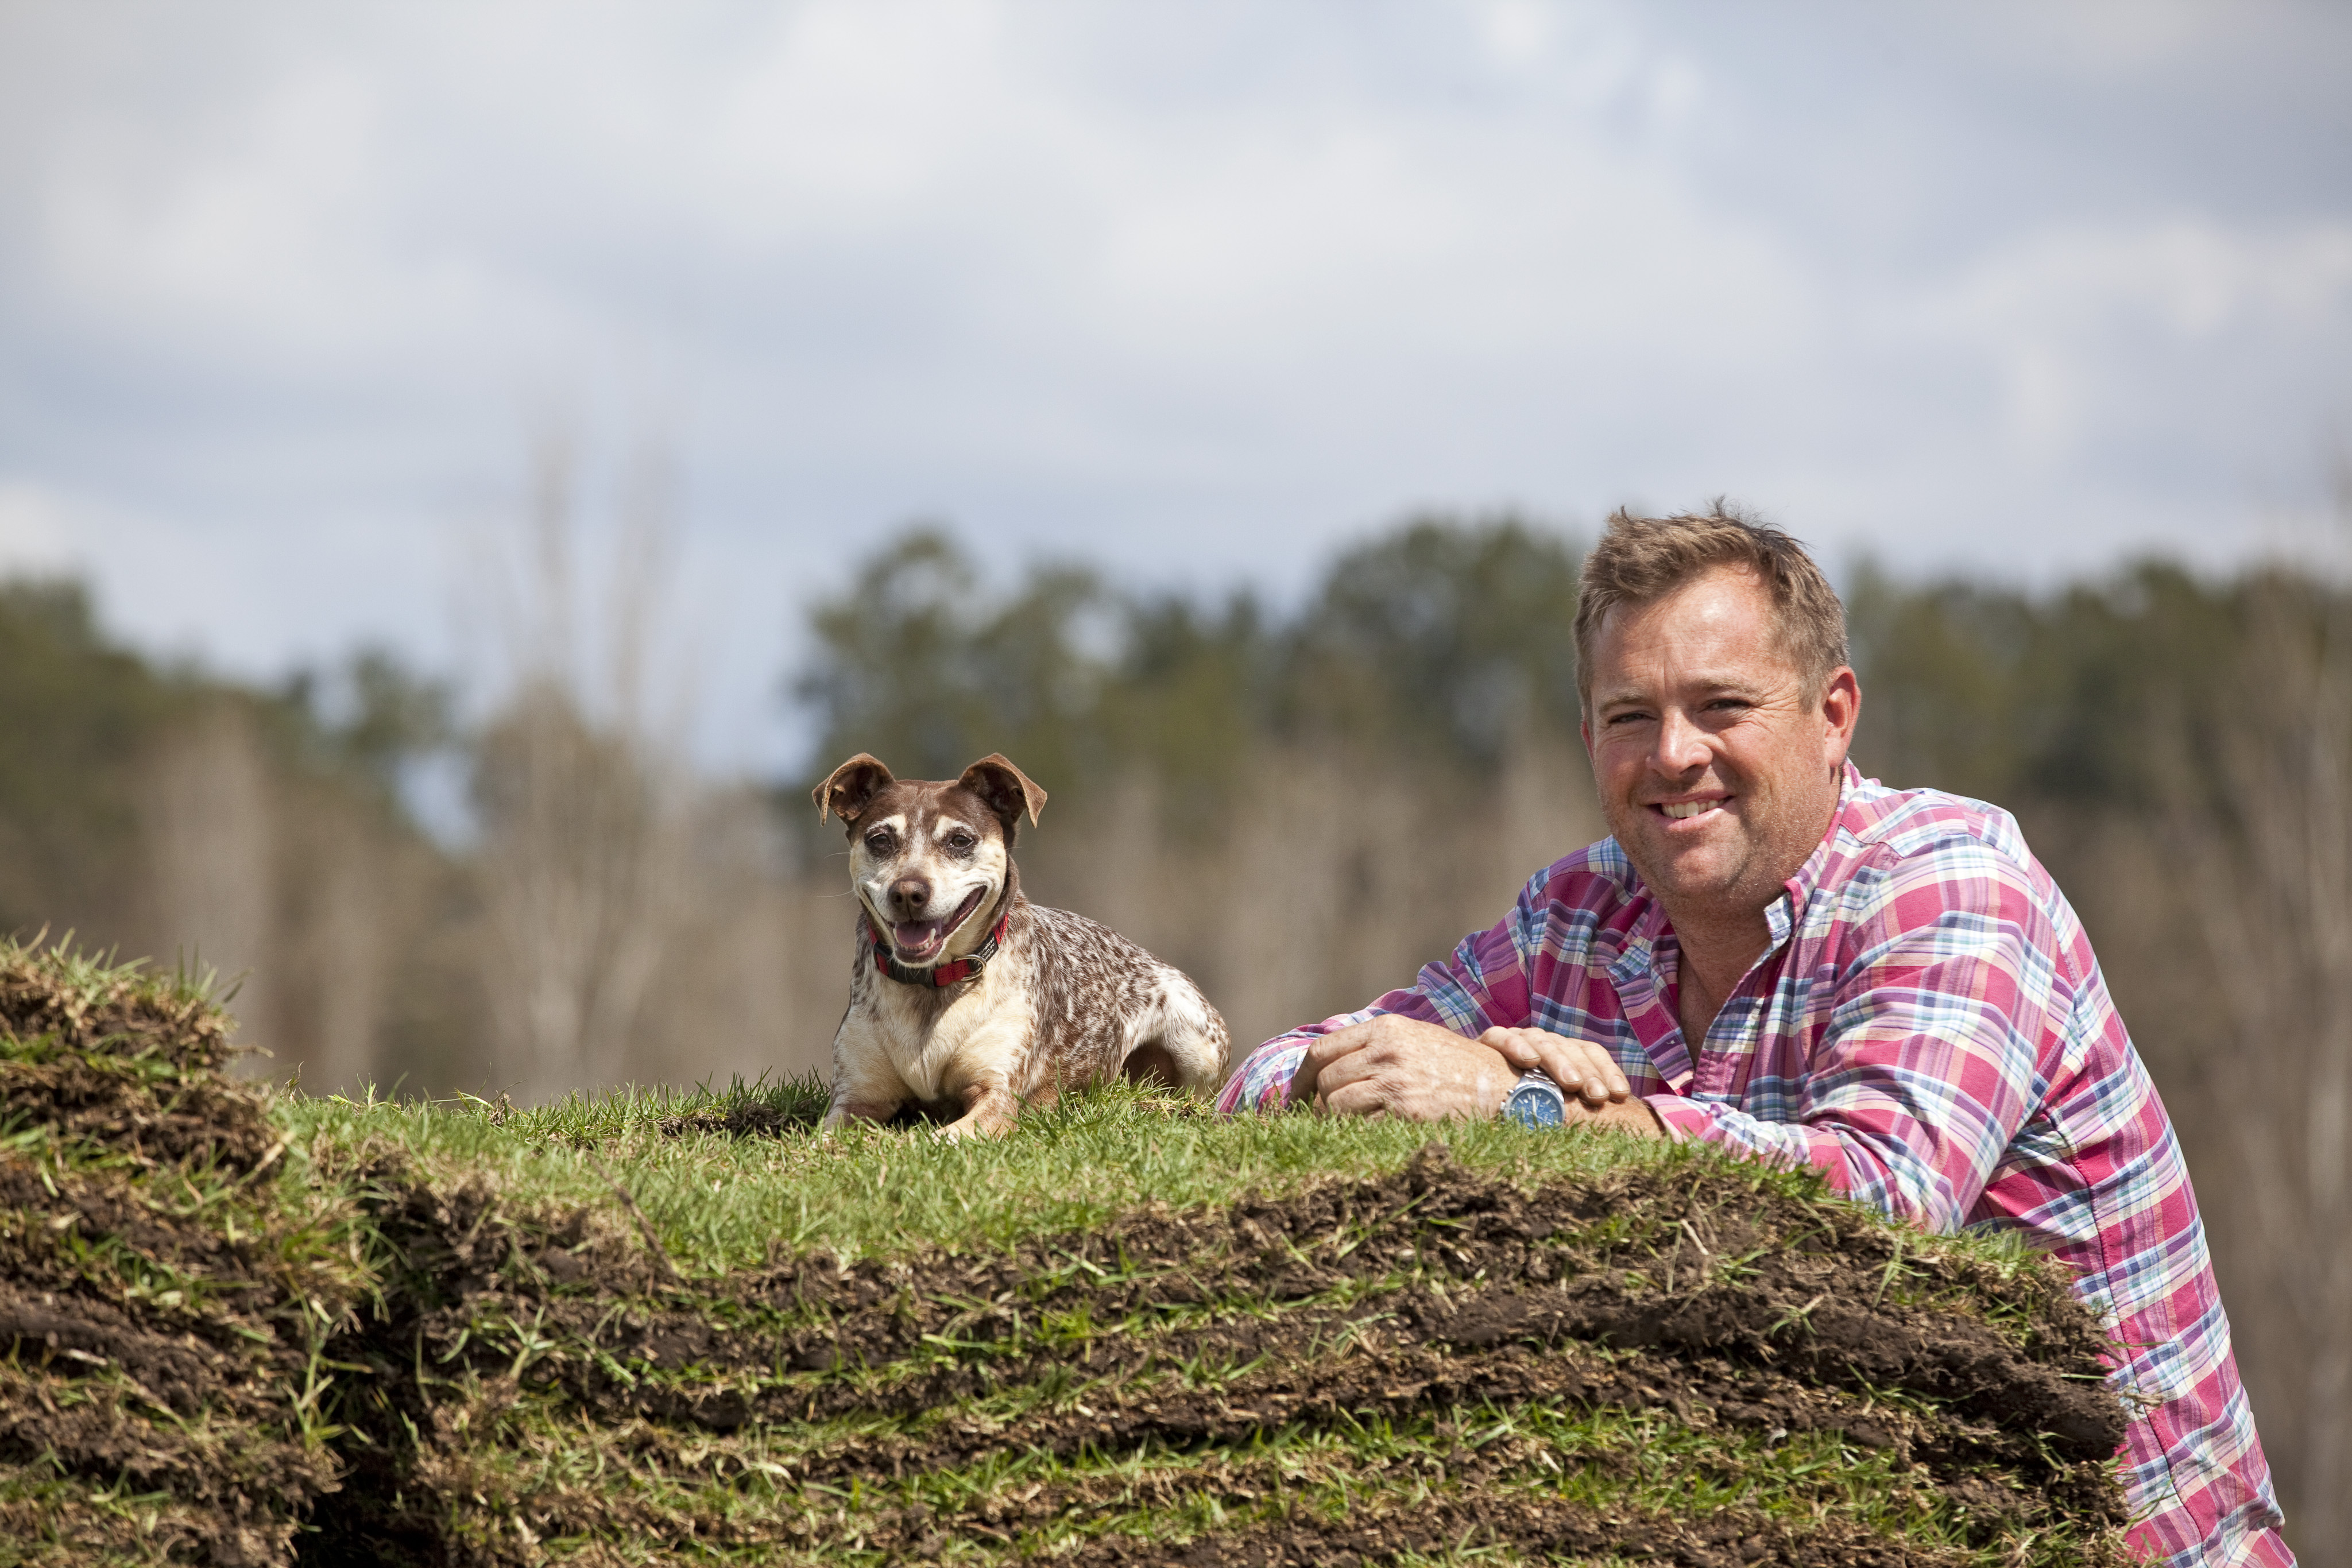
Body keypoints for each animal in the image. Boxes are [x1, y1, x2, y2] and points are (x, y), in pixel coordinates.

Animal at [814, 752, 1232, 1142]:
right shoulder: (856, 1098)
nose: (908, 893)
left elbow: (934, 1139)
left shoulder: (996, 1096)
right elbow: (822, 1136)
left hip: (1197, 1043)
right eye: (880, 839)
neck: (930, 985)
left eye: (960, 840)